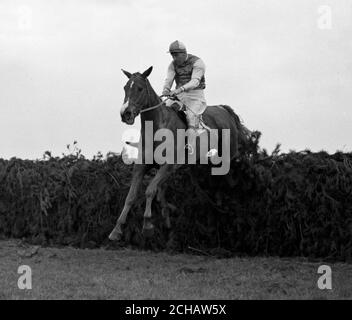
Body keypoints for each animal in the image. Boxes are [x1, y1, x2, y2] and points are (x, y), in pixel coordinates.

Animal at [108, 65, 252, 240]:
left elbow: (150, 190)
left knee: (229, 179)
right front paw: (116, 230)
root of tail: (224, 109)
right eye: (125, 87)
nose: (125, 113)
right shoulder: (141, 167)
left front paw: (148, 225)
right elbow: (131, 196)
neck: (157, 127)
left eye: (140, 88)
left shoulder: (167, 165)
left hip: (227, 156)